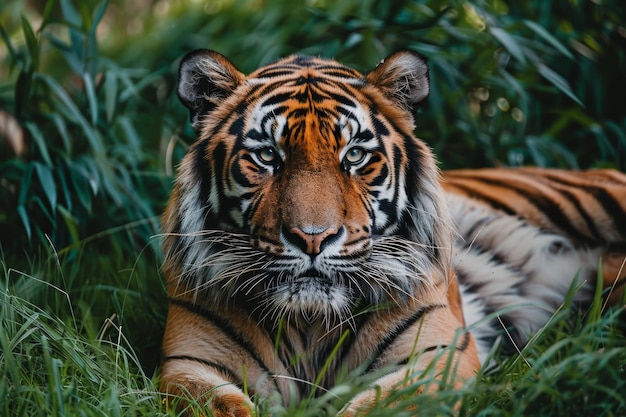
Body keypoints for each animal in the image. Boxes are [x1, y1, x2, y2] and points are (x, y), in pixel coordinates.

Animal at [157, 49, 624, 416]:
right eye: (268, 156)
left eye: (355, 156)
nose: (313, 238)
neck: (311, 323)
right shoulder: (191, 365)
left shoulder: (434, 360)